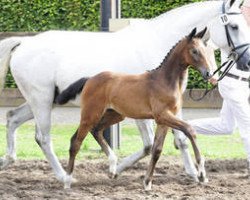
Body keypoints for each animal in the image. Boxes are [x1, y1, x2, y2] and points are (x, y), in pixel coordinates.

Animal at [56, 27, 213, 189]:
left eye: (205, 49)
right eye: (194, 51)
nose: (208, 73)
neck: (165, 81)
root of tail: (90, 79)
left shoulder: (163, 121)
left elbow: (157, 150)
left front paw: (147, 182)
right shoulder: (162, 115)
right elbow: (190, 130)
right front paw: (202, 174)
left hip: (115, 114)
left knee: (95, 131)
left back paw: (112, 167)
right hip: (90, 114)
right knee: (76, 142)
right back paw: (67, 181)